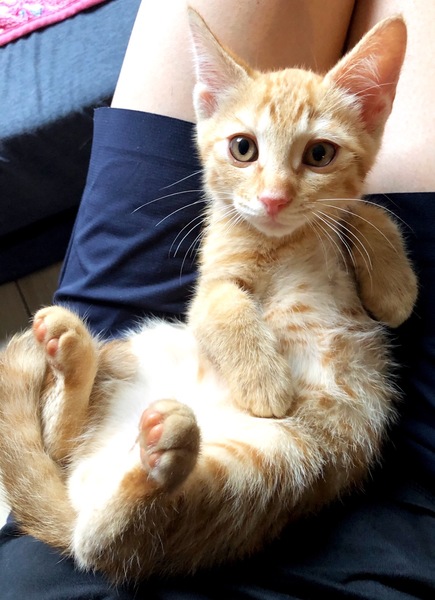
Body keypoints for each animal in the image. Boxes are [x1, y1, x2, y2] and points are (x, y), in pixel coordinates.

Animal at [0, 9, 417, 584]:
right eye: (243, 148)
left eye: (320, 154)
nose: (273, 198)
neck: (286, 240)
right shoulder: (209, 282)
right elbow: (222, 304)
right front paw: (266, 382)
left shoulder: (335, 217)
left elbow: (367, 210)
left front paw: (396, 289)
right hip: (154, 358)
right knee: (96, 523)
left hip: (269, 461)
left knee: (93, 507)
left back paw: (138, 427)